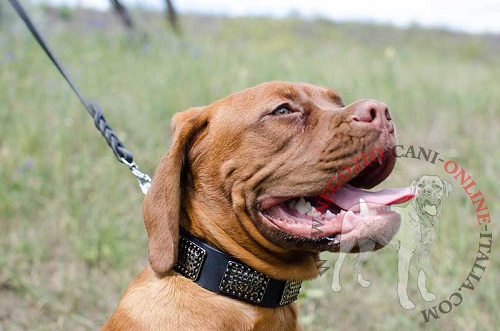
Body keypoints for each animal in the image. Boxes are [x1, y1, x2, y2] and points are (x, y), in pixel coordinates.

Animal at [332, 176, 454, 312]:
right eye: (421, 185)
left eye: (436, 186)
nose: (426, 191)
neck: (423, 222)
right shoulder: (404, 256)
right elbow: (403, 282)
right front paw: (405, 303)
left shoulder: (425, 255)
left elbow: (422, 277)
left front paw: (426, 295)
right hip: (348, 245)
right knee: (338, 264)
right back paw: (335, 286)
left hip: (368, 247)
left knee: (357, 262)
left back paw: (362, 282)